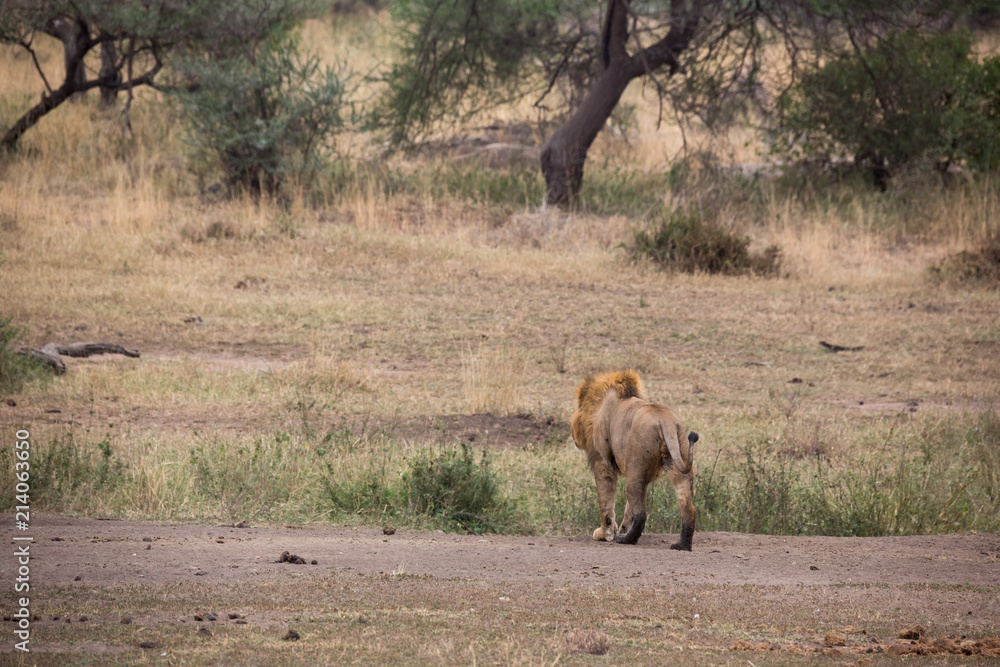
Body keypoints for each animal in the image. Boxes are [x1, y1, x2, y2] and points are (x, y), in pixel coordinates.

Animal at [570, 369, 698, 548]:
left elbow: (606, 501)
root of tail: (664, 420)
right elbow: (628, 508)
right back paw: (681, 545)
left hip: (636, 465)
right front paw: (622, 530)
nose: (572, 434)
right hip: (676, 460)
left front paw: (605, 534)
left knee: (641, 513)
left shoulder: (603, 462)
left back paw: (627, 540)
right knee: (688, 507)